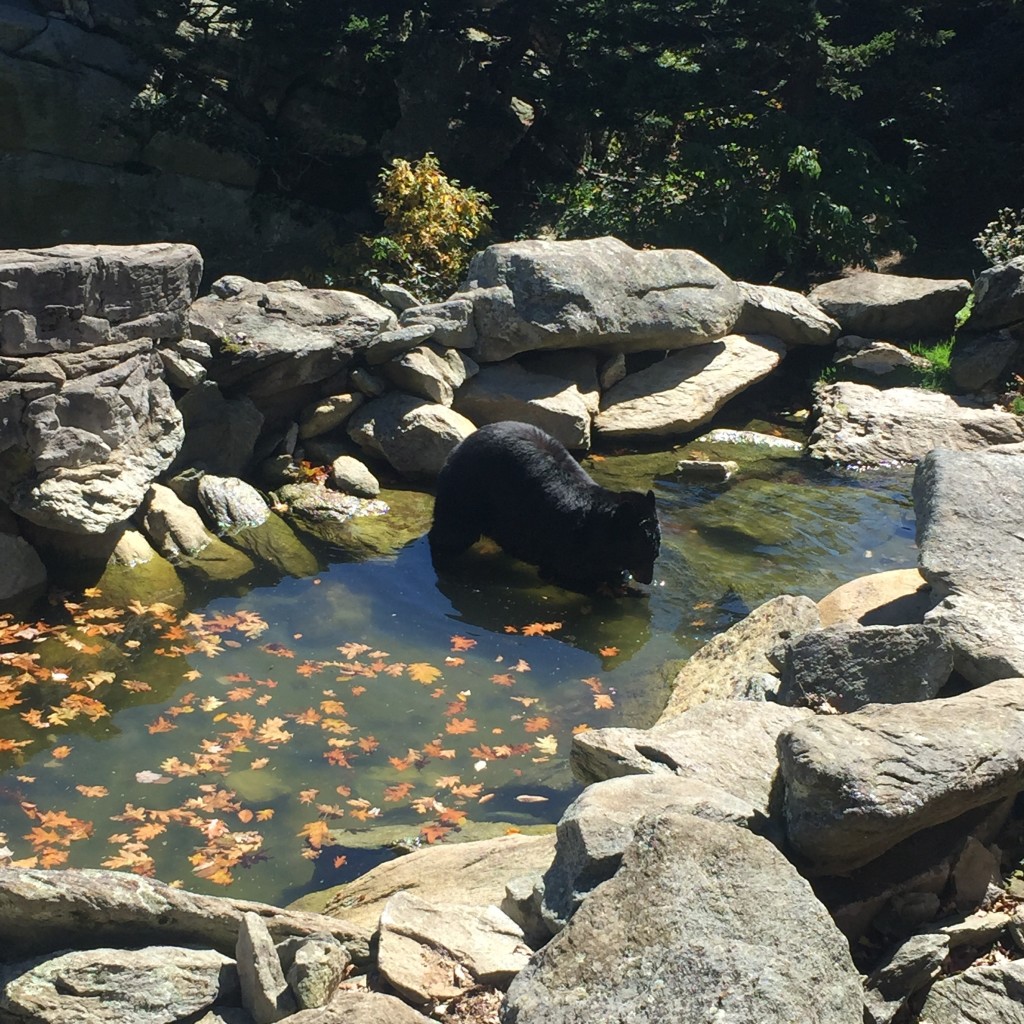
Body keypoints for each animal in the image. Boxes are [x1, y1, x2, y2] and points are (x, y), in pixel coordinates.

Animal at [428, 417, 659, 593]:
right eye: (644, 554)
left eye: (655, 554)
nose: (648, 579)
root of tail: (461, 444)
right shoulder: (565, 543)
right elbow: (566, 574)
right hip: (467, 493)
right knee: (452, 532)